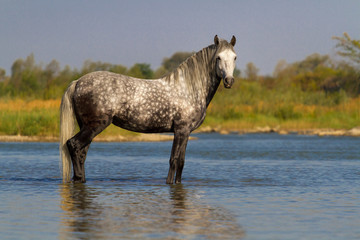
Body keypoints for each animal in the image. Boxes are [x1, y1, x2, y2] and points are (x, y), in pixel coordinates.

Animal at [59, 34, 236, 184]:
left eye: (235, 57)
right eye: (218, 57)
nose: (229, 81)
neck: (188, 89)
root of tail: (77, 82)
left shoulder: (186, 132)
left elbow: (181, 162)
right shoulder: (181, 130)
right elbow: (173, 160)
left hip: (86, 126)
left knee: (82, 153)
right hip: (95, 125)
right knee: (74, 145)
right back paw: (79, 178)